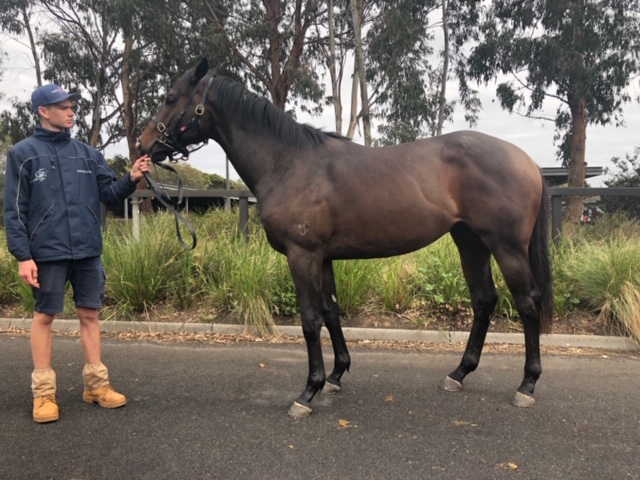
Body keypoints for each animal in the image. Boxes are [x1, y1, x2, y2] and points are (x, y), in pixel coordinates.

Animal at [138, 58, 554, 418]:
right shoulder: (322, 257)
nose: (143, 146)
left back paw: (527, 385)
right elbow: (331, 311)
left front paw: (309, 391)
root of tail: (528, 161)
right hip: (470, 242)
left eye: (170, 98)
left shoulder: (302, 255)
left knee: (527, 303)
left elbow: (309, 319)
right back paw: (459, 373)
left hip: (506, 247)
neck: (290, 163)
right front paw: (336, 376)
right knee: (484, 300)